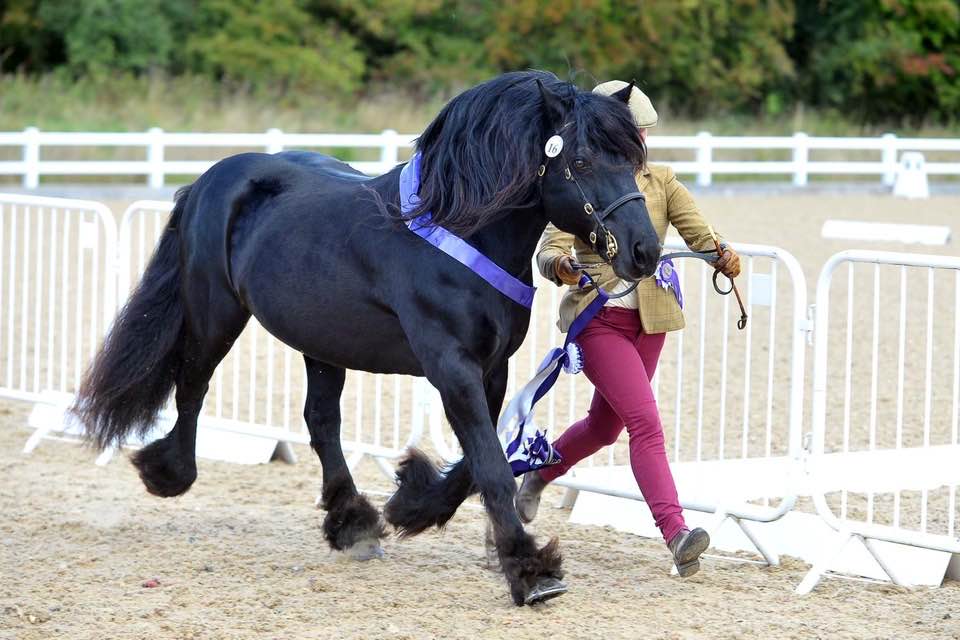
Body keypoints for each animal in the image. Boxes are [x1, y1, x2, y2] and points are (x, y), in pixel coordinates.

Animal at [74, 70, 661, 606]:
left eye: (634, 161)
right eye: (580, 162)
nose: (644, 251)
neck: (459, 232)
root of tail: (209, 181)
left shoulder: (492, 368)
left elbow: (476, 462)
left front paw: (412, 504)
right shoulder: (451, 365)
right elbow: (492, 465)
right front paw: (530, 571)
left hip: (320, 341)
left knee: (320, 422)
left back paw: (352, 522)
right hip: (216, 313)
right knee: (192, 385)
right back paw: (168, 471)